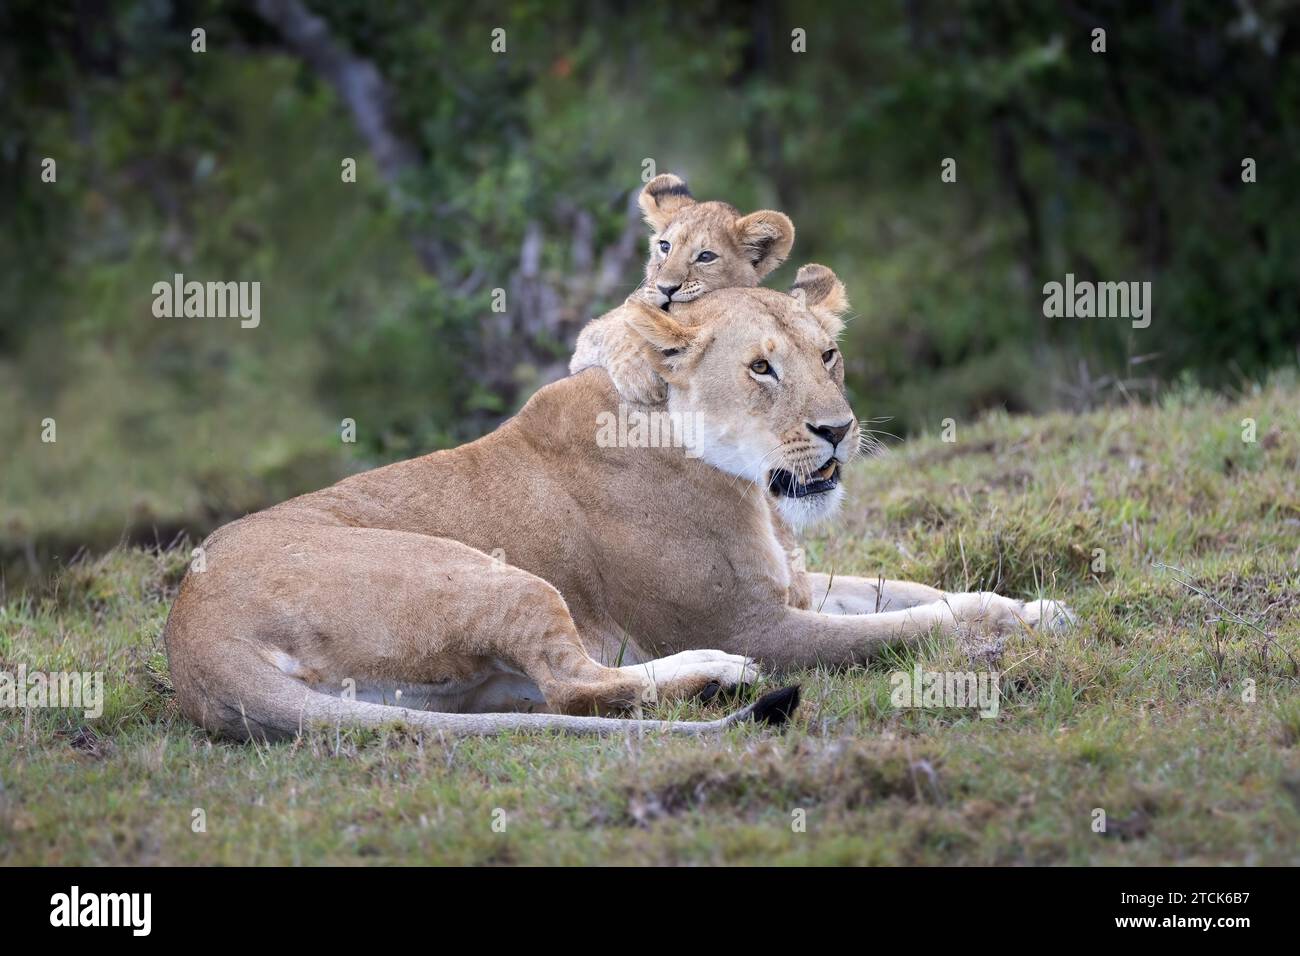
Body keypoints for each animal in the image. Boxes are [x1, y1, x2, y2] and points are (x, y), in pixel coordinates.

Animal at [164, 266, 1071, 741]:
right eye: (761, 368)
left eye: (828, 354)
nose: (839, 430)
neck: (743, 481)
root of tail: (190, 636)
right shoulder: (754, 620)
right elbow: (907, 626)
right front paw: (991, 634)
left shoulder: (796, 586)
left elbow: (924, 593)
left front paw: (1036, 610)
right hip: (493, 575)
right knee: (575, 687)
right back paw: (719, 675)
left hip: (470, 683)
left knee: (565, 690)